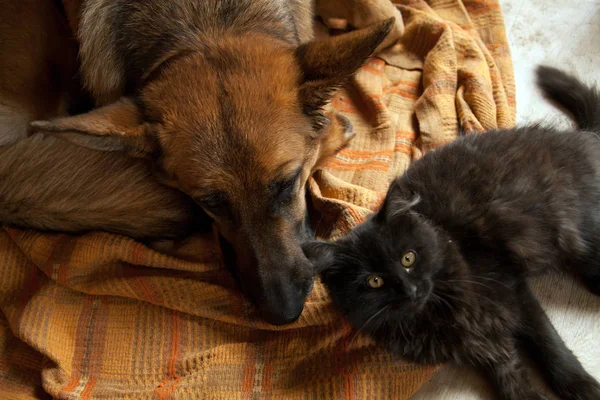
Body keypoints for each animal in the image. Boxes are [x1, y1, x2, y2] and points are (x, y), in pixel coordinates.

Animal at [3, 0, 404, 324]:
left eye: (287, 184)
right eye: (210, 202)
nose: (283, 313)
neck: (207, 22)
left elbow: (393, 22)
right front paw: (332, 128)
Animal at [302, 65, 600, 400]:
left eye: (408, 258)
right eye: (374, 281)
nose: (410, 290)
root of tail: (583, 136)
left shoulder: (511, 290)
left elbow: (548, 343)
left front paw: (580, 386)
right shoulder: (482, 343)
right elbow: (511, 377)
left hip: (572, 225)